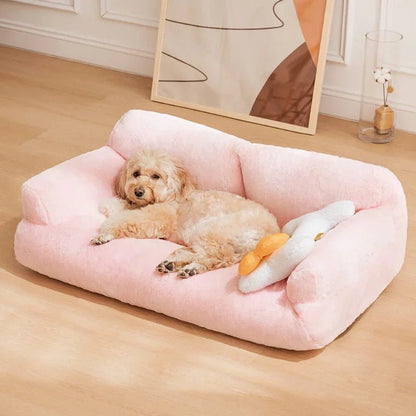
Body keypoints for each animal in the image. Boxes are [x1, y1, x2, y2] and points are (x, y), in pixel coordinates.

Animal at [91, 148, 280, 278]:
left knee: (216, 256)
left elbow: (124, 221)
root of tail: (269, 233)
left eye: (156, 176)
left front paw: (104, 234)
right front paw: (110, 205)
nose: (138, 192)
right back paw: (174, 265)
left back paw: (189, 267)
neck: (172, 195)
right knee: (208, 256)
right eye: (135, 173)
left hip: (212, 231)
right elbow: (119, 208)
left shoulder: (154, 218)